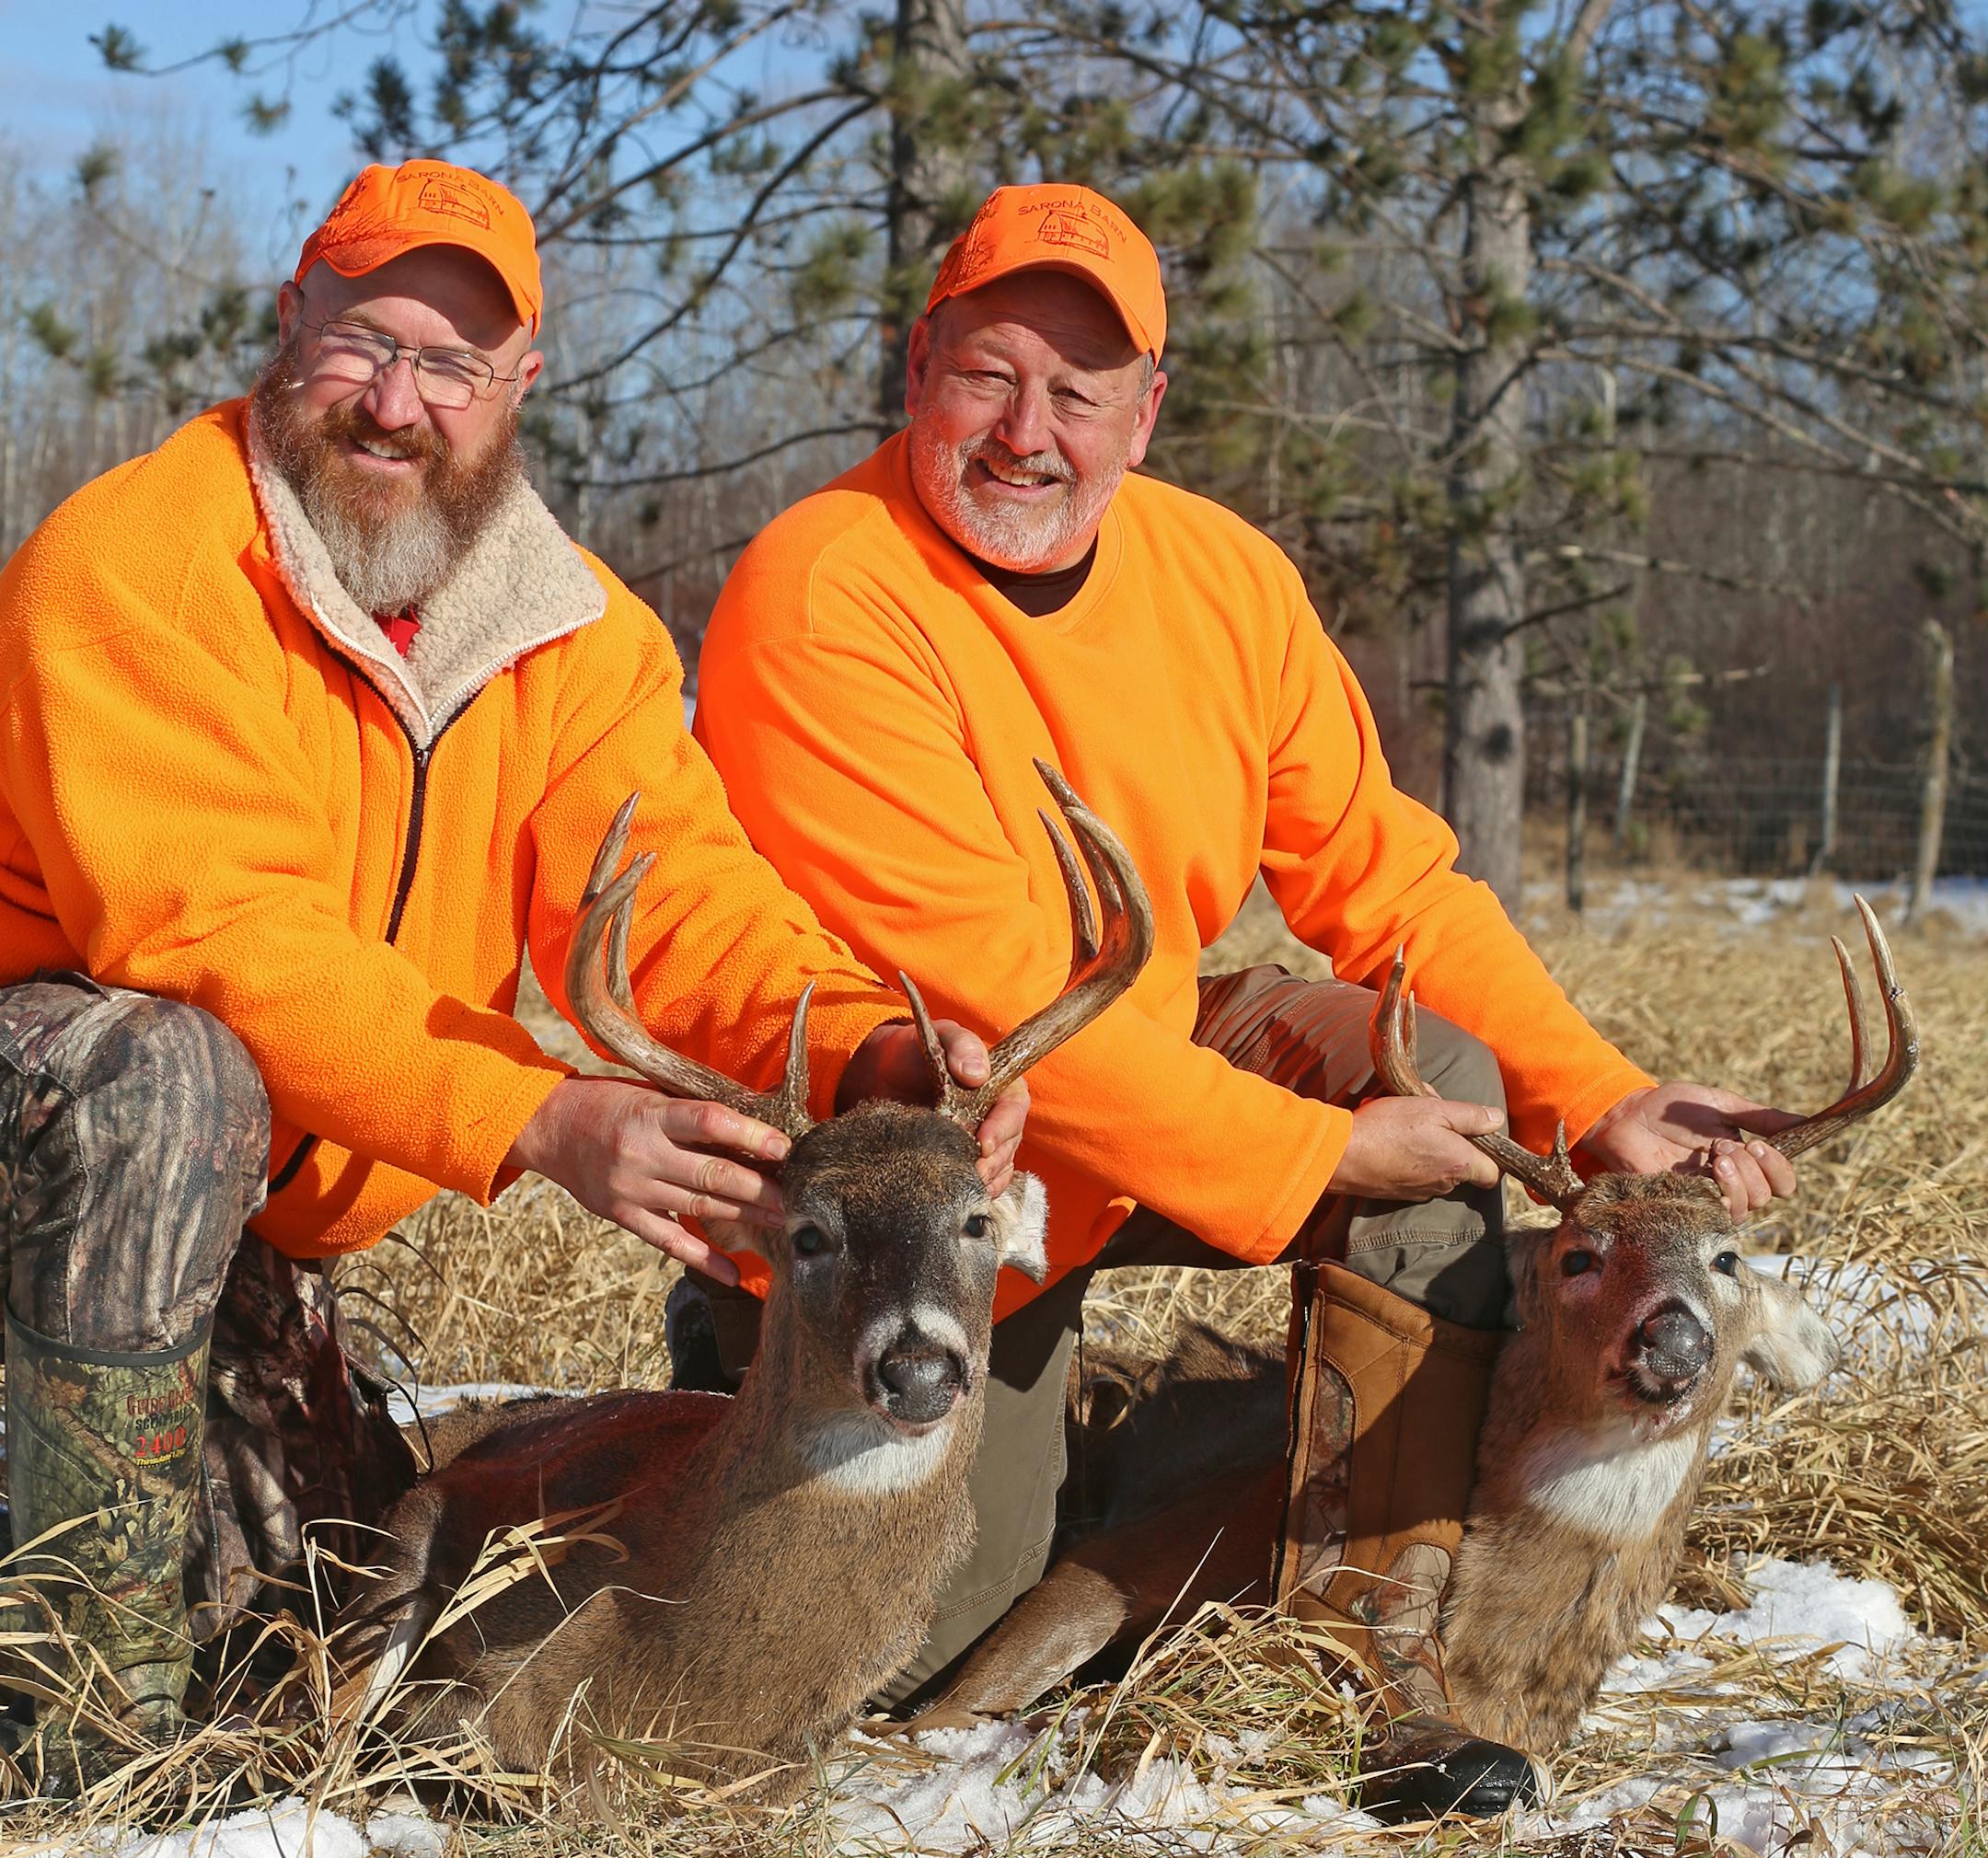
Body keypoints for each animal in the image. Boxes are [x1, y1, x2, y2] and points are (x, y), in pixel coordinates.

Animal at [910, 901, 1917, 1763]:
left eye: (1727, 1257)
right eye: (1578, 1256)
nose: (1672, 1340)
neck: (1494, 1658)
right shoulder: (1112, 1564)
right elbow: (963, 1704)